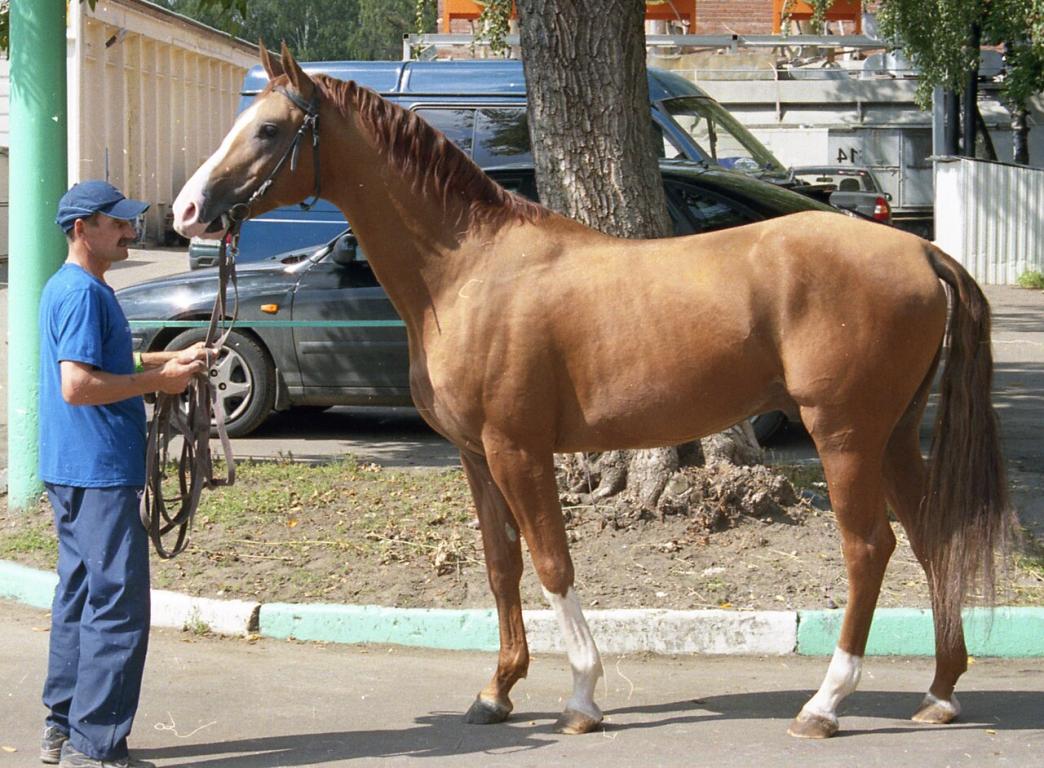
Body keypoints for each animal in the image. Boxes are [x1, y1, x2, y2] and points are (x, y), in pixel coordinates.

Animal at [173, 44, 1012, 739]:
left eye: (269, 130)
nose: (186, 211)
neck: (467, 269)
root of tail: (921, 252)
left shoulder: (518, 451)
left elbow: (552, 564)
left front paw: (581, 696)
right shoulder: (476, 457)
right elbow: (503, 565)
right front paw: (497, 691)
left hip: (845, 437)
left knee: (870, 549)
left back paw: (826, 704)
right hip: (892, 436)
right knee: (932, 540)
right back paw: (939, 692)